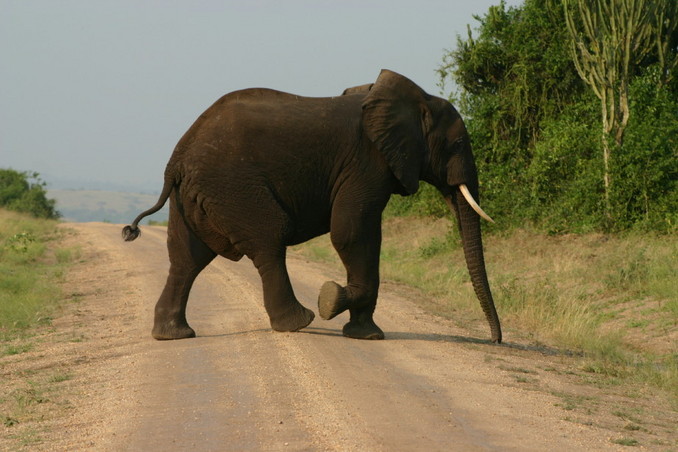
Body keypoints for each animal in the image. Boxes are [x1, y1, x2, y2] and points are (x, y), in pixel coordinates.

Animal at [123, 69, 504, 342]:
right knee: (268, 240)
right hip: (233, 187)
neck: (415, 99)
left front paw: (364, 333)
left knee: (187, 258)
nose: (495, 340)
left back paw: (173, 334)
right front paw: (333, 302)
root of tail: (178, 159)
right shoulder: (365, 163)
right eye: (458, 144)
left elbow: (365, 237)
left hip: (192, 198)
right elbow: (352, 232)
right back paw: (299, 322)